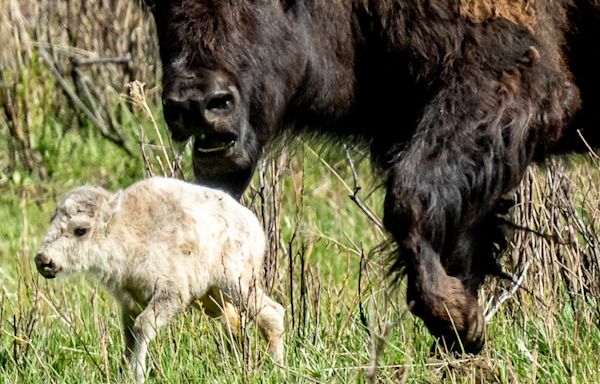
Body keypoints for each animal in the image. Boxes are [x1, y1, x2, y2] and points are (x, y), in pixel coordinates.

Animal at [35, 177, 286, 380]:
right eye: (52, 220)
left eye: (81, 230)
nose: (43, 260)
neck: (126, 230)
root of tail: (254, 225)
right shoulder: (130, 303)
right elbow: (129, 336)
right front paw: (123, 371)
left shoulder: (170, 293)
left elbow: (142, 327)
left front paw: (137, 374)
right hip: (211, 297)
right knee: (234, 323)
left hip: (237, 282)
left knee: (271, 313)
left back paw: (277, 367)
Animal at [144, 0, 600, 352]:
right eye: (154, 2)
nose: (197, 104)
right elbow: (455, 237)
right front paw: (463, 330)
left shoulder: (510, 81)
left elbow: (408, 197)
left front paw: (456, 317)